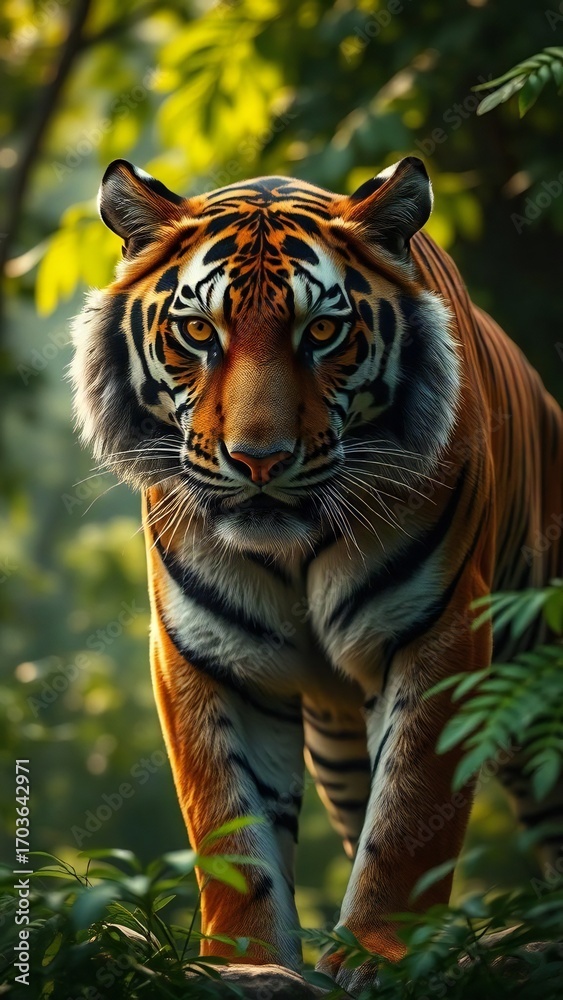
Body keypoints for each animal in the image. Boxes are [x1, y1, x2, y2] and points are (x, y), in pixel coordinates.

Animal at [70, 155, 563, 994]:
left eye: (322, 332)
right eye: (198, 331)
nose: (258, 460)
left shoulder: (440, 635)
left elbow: (407, 818)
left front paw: (378, 953)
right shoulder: (204, 655)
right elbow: (231, 832)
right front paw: (244, 964)